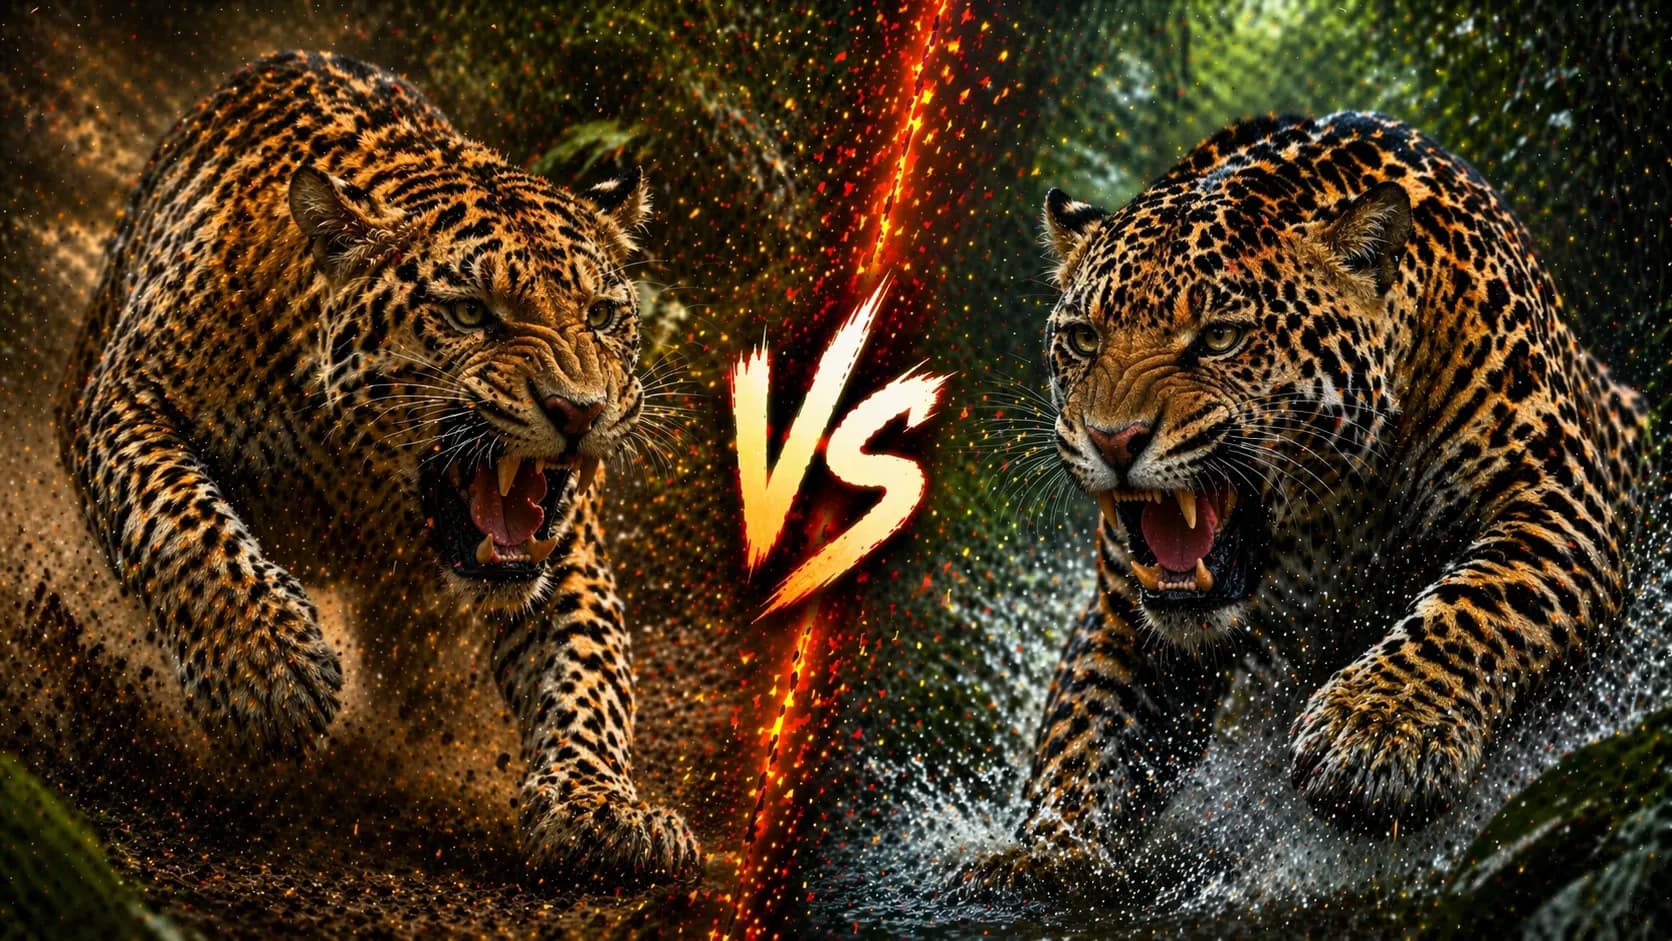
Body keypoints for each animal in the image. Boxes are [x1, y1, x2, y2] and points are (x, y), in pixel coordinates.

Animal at [57, 50, 699, 887]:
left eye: (602, 315)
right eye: (469, 313)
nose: (579, 410)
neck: (354, 476)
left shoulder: (566, 542)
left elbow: (589, 662)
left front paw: (601, 808)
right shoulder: (128, 402)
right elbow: (180, 521)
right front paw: (267, 674)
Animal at [972, 111, 1648, 889]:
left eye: (1220, 337)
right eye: (1083, 338)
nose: (1113, 440)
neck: (1334, 518)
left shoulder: (1555, 496)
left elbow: (1477, 600)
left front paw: (1376, 728)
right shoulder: (1124, 603)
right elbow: (1086, 722)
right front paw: (1046, 852)